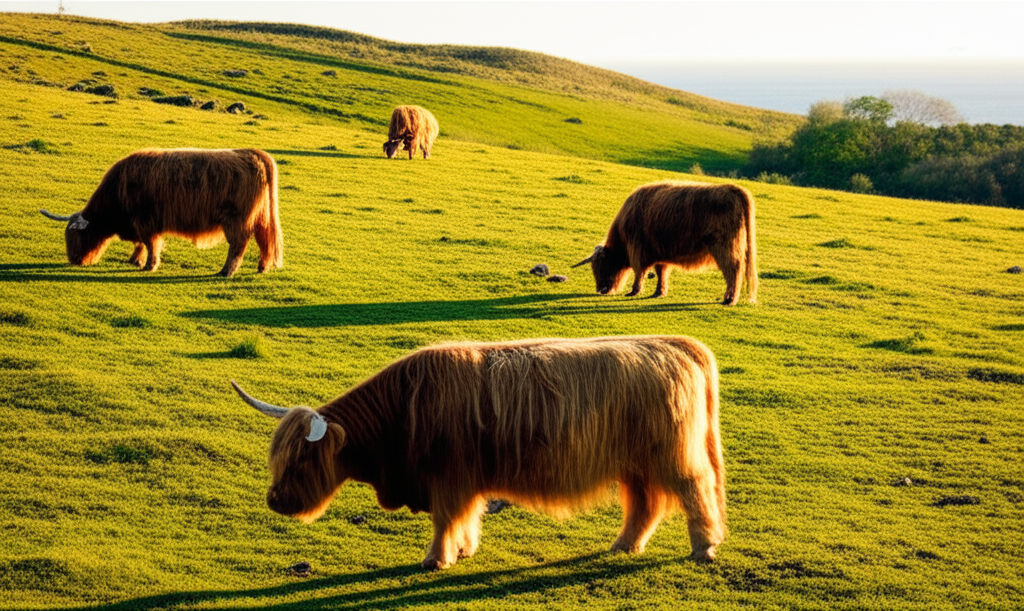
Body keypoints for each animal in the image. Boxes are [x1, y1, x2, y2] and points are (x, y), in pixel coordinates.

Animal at [40, 148, 283, 277]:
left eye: (76, 235)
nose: (74, 259)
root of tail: (252, 153)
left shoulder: (146, 221)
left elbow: (150, 244)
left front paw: (149, 265)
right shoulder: (140, 223)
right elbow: (141, 243)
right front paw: (135, 260)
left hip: (236, 220)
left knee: (238, 245)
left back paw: (226, 271)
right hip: (261, 218)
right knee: (264, 242)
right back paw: (261, 267)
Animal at [231, 335, 727, 570]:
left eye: (301, 459)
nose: (275, 500)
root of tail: (676, 344)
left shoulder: (448, 477)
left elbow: (445, 519)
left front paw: (435, 559)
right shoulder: (464, 480)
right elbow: (466, 518)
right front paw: (465, 550)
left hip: (672, 458)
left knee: (694, 492)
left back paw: (704, 548)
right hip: (635, 464)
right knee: (645, 504)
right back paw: (624, 546)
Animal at [572, 181, 758, 305]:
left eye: (602, 266)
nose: (600, 290)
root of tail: (733, 189)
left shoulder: (638, 250)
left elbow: (640, 271)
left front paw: (634, 291)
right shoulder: (659, 253)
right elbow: (661, 272)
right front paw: (659, 292)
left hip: (724, 247)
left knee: (733, 270)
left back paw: (729, 299)